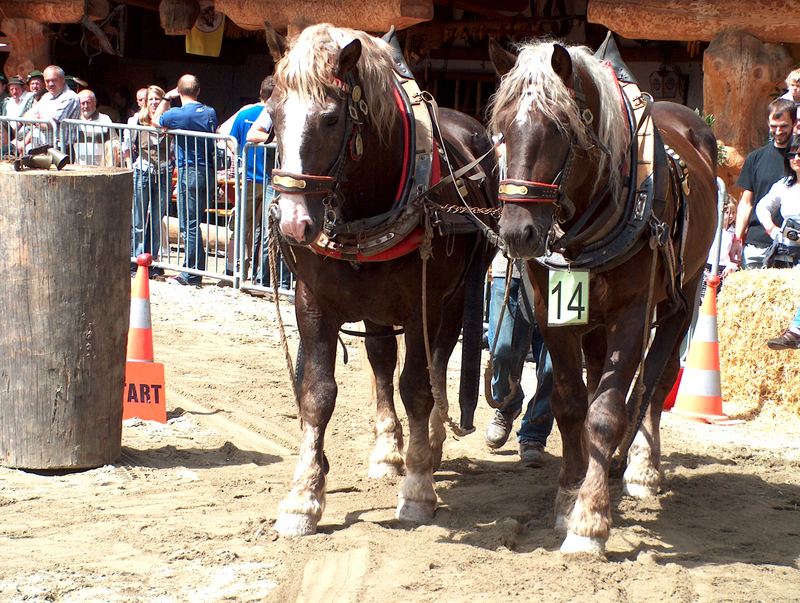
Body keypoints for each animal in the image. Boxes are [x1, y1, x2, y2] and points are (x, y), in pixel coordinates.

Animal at [266, 23, 496, 536]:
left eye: (332, 118)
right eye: (272, 113)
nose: (293, 223)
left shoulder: (424, 306)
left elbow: (418, 388)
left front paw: (418, 488)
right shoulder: (313, 302)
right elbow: (317, 394)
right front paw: (304, 496)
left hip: (450, 302)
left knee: (435, 366)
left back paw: (429, 445)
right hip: (374, 307)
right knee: (381, 360)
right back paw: (389, 449)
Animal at [488, 36, 720, 556]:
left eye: (560, 128)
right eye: (500, 129)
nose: (516, 233)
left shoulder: (632, 313)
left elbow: (608, 412)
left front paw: (590, 520)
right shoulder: (552, 309)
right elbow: (572, 403)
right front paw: (569, 493)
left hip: (684, 294)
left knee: (655, 380)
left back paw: (641, 468)